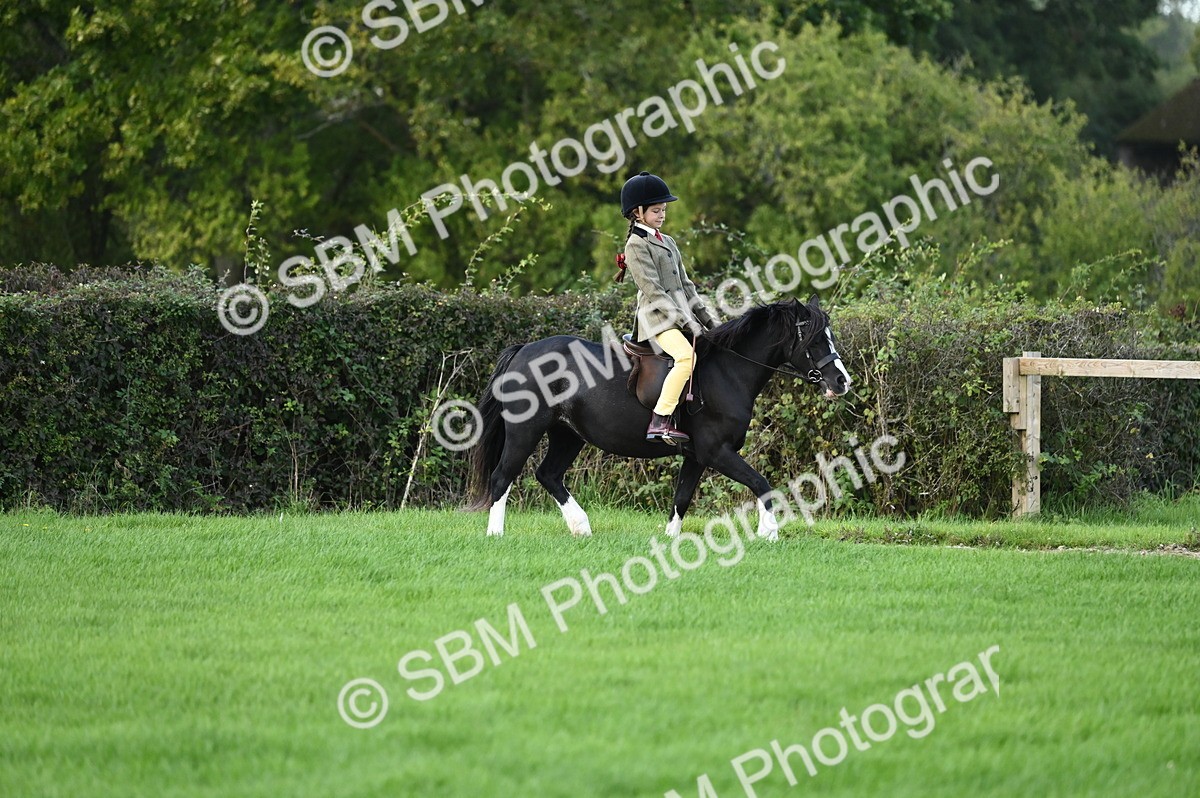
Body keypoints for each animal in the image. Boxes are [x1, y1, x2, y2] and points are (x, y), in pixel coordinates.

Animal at [465, 296, 852, 538]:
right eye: (815, 339)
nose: (842, 381)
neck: (727, 370)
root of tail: (524, 350)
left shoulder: (697, 456)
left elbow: (682, 497)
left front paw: (670, 539)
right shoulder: (717, 452)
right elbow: (761, 483)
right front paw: (768, 532)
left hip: (567, 434)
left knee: (548, 475)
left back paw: (581, 527)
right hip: (525, 431)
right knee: (502, 477)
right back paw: (496, 534)